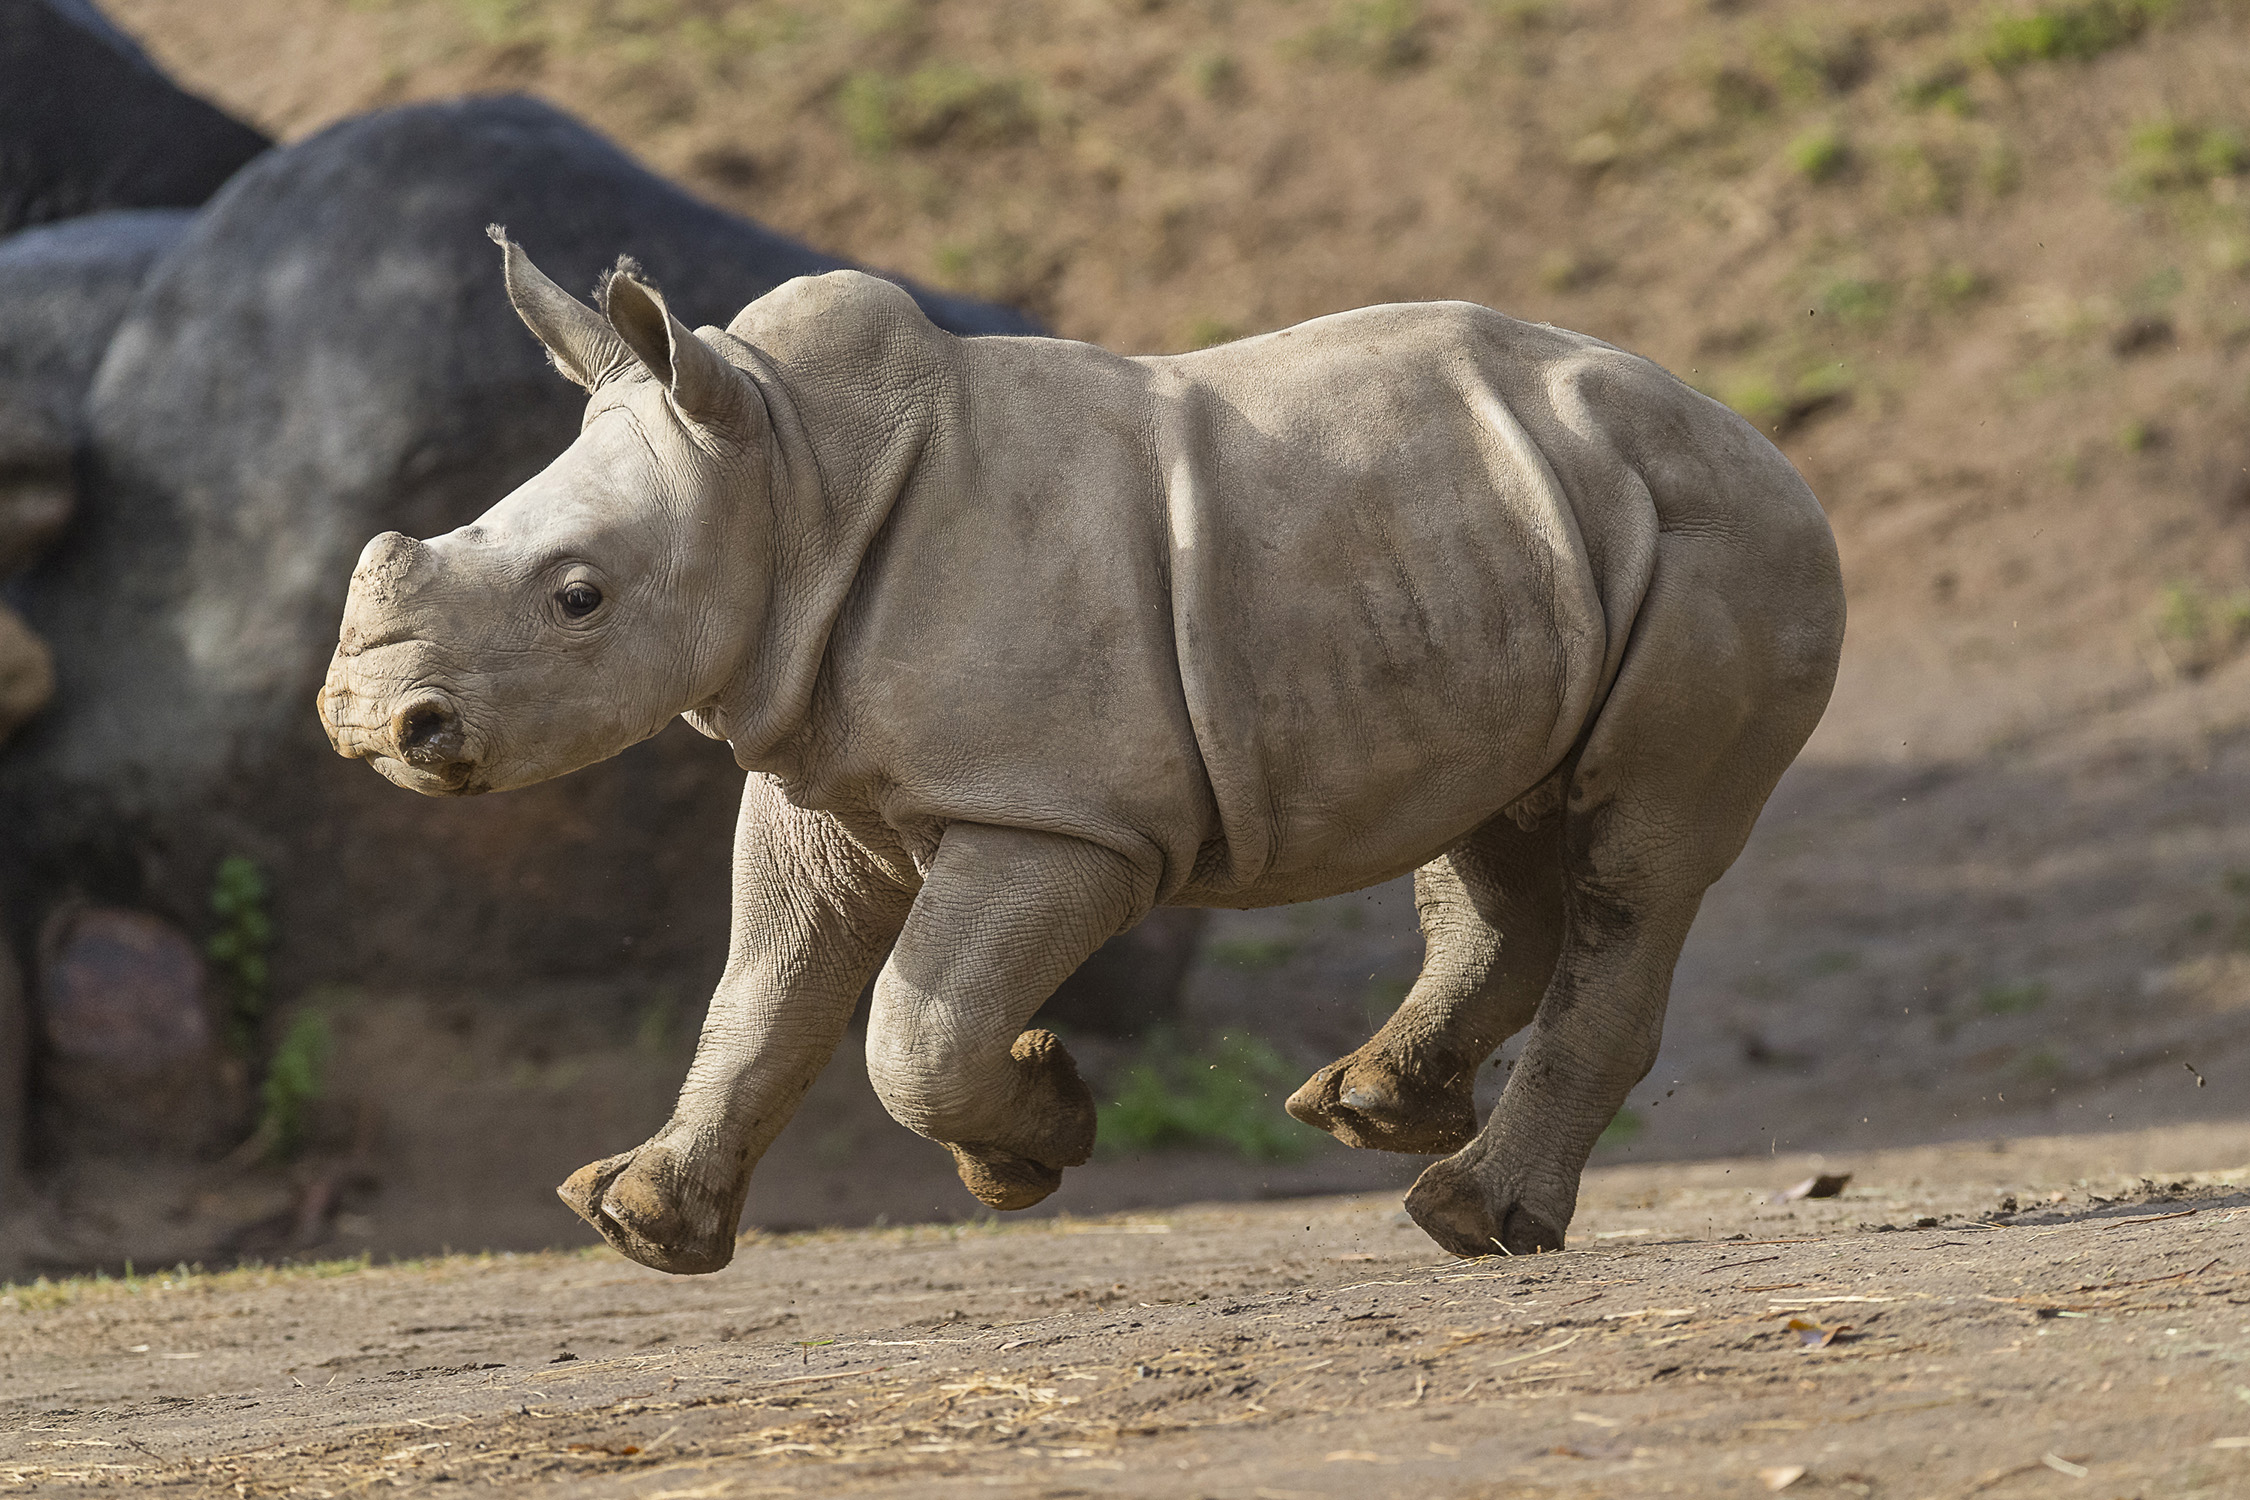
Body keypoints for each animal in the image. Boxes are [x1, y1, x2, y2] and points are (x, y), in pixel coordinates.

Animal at [326, 229, 1854, 1277]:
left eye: (578, 598)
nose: (366, 723)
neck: (788, 478)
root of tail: (1758, 438)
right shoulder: (809, 768)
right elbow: (763, 990)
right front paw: (640, 1221)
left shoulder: (1064, 818)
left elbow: (914, 1025)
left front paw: (1037, 1138)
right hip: (1530, 543)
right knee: (1491, 822)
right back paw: (1368, 1111)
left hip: (1724, 547)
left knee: (1635, 867)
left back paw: (1466, 1219)